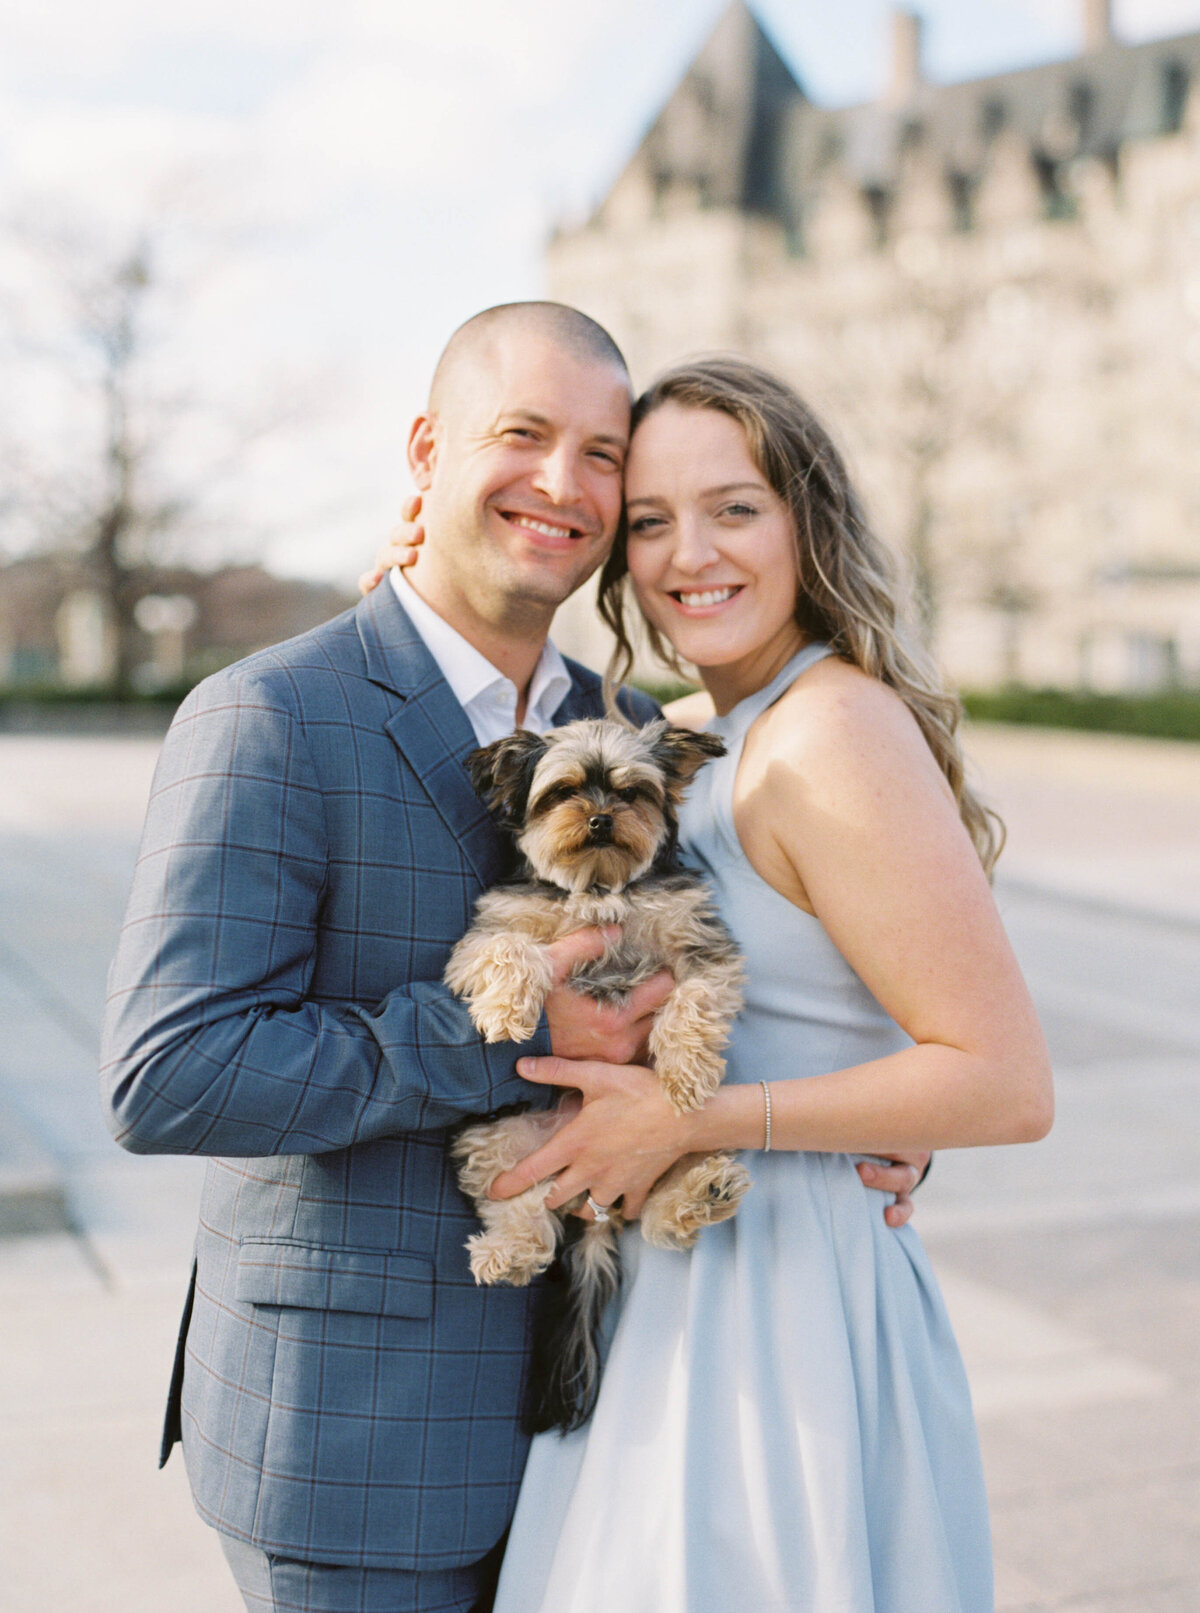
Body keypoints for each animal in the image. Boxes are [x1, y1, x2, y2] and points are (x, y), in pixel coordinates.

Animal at [448, 716, 748, 1425]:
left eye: (632, 792)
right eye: (562, 793)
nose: (601, 819)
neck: (599, 886)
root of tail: (593, 1208)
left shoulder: (701, 946)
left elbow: (693, 1001)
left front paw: (686, 1071)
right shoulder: (481, 938)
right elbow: (508, 947)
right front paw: (506, 1009)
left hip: (664, 1150)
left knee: (655, 1216)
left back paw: (697, 1195)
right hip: (497, 1143)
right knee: (526, 1217)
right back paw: (506, 1253)